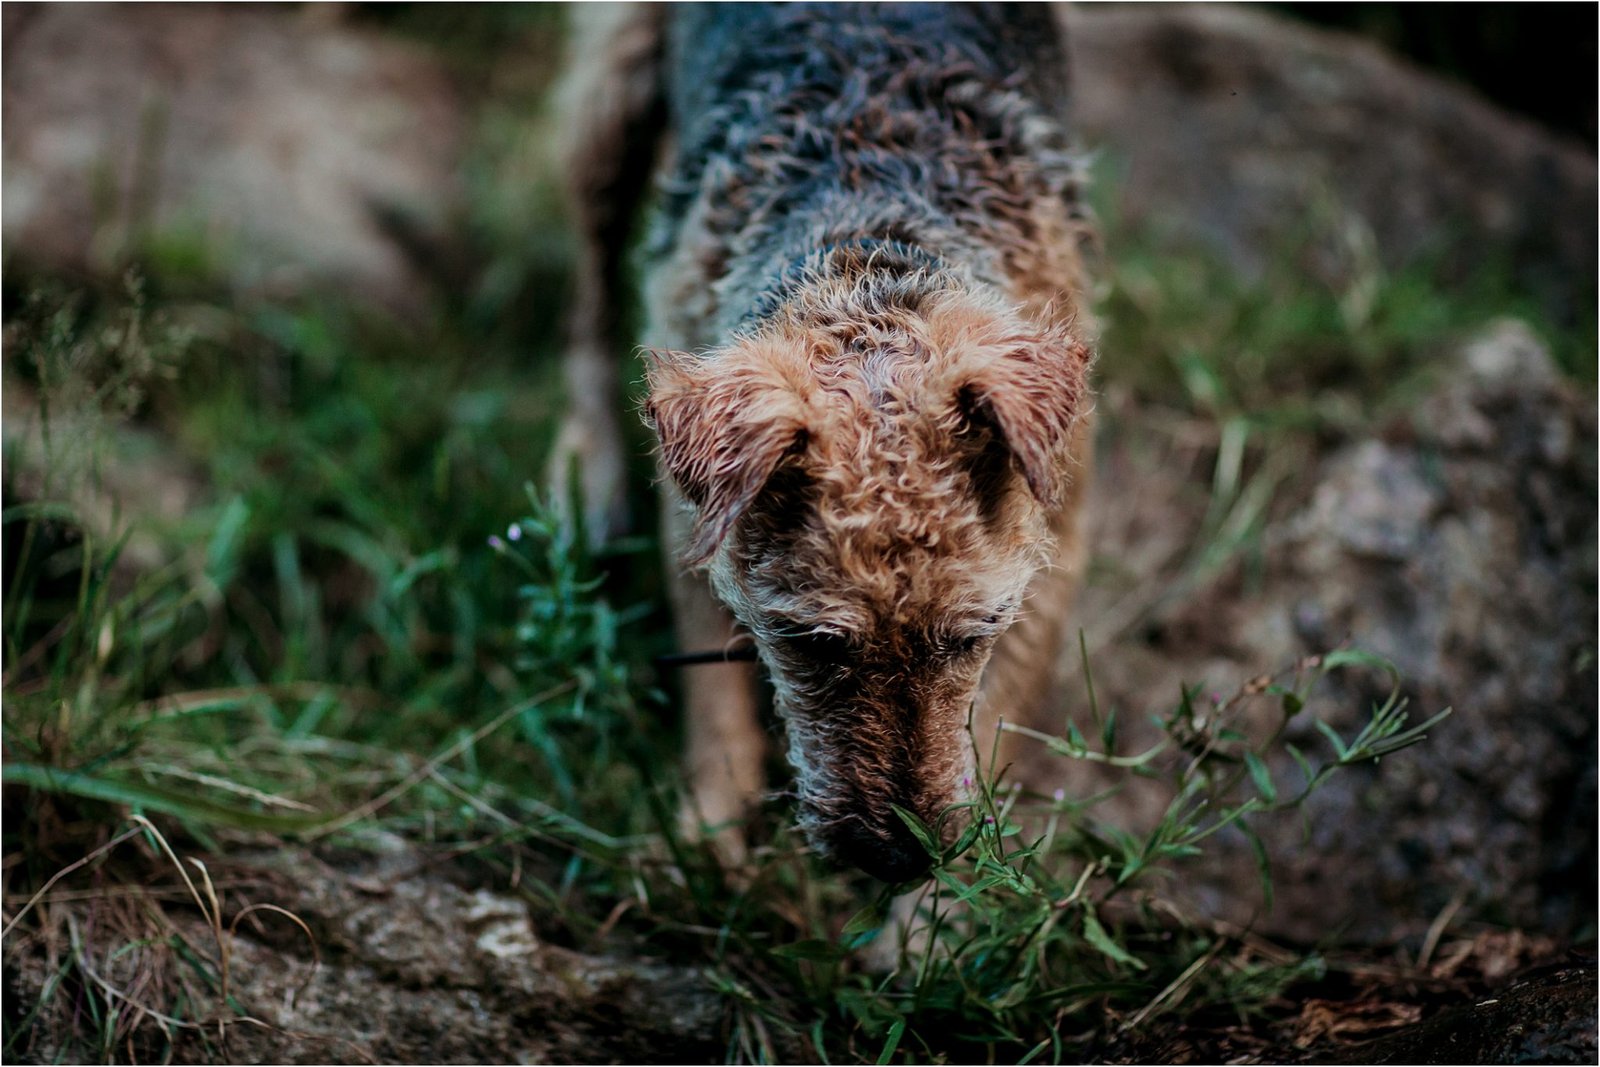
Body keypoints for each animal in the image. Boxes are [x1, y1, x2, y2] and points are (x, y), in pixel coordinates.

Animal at [553, 2, 1100, 883]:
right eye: (811, 643)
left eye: (971, 636)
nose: (899, 859)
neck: (863, 249)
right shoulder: (698, 520)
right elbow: (711, 696)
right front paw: (709, 833)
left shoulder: (1053, 543)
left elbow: (997, 715)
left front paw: (940, 910)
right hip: (614, 88)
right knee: (592, 279)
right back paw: (587, 467)